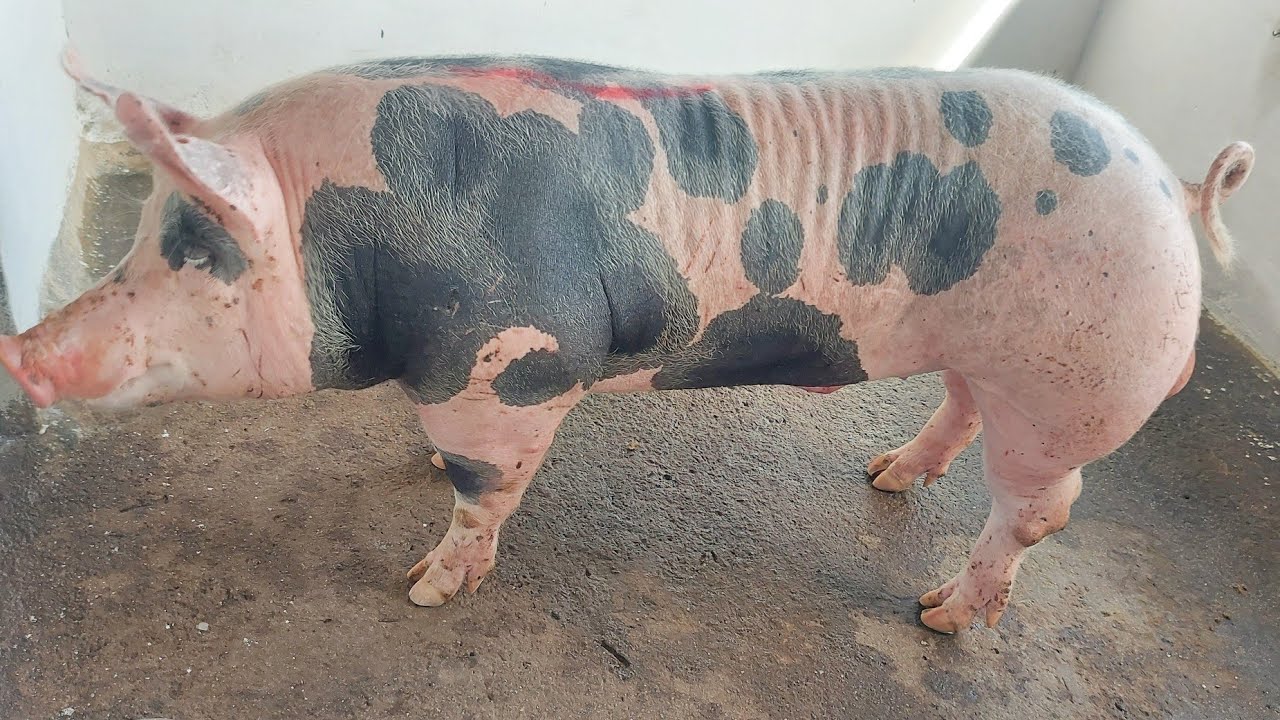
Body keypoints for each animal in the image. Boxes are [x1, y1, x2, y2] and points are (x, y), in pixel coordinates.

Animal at [0, 50, 1255, 634]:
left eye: (198, 249)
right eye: (141, 237)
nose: (20, 352)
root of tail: (1175, 189)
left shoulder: (515, 371)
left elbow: (479, 494)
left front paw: (423, 590)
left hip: (1071, 387)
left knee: (1037, 510)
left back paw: (940, 616)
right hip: (990, 358)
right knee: (956, 408)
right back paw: (884, 474)